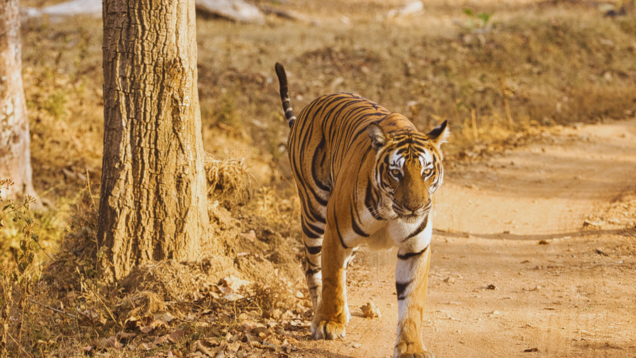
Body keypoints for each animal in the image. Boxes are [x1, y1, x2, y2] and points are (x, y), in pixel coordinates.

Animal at [274, 62, 448, 358]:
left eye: (426, 172)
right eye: (396, 173)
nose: (415, 207)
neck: (391, 211)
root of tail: (310, 106)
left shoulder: (415, 247)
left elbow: (412, 300)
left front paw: (411, 347)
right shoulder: (335, 234)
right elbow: (332, 278)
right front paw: (329, 323)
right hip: (314, 214)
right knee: (313, 268)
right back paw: (321, 315)